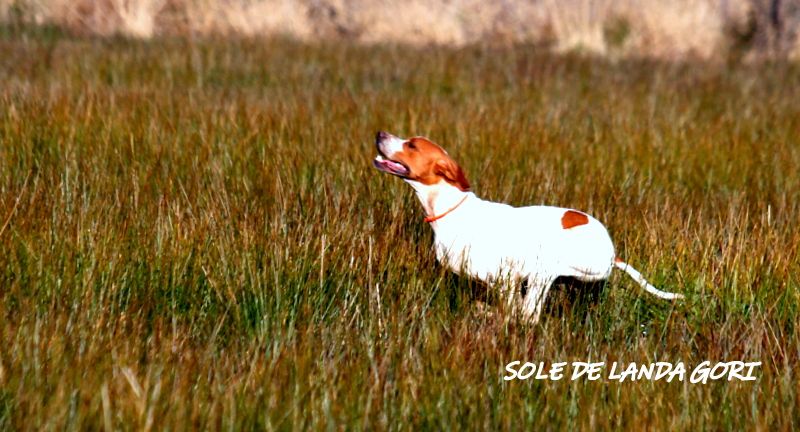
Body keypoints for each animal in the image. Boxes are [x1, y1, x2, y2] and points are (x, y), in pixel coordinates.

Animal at [374, 130, 680, 322]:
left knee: (528, 316)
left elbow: (514, 311)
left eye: (412, 145)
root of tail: (611, 253)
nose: (379, 133)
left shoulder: (506, 277)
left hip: (546, 265)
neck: (451, 208)